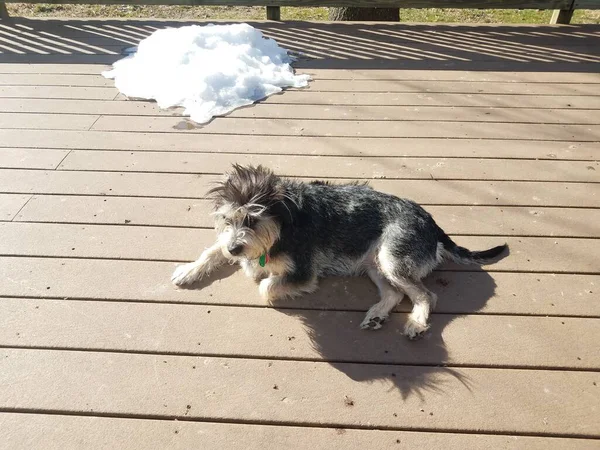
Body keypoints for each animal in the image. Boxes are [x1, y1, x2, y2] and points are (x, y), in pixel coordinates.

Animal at [171, 164, 508, 338]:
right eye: (226, 219)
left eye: (252, 220)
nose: (235, 248)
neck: (284, 221)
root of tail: (434, 224)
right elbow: (212, 251)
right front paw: (189, 270)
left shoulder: (303, 273)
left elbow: (265, 286)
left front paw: (257, 274)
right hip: (375, 264)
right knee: (395, 293)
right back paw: (376, 316)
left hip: (392, 258)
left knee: (426, 295)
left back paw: (415, 323)